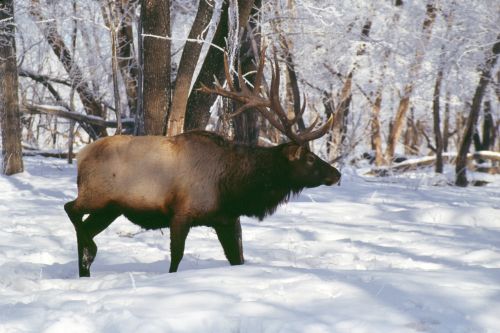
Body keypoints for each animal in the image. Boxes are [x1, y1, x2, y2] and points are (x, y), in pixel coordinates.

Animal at [64, 49, 342, 276]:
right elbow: (176, 259)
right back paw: (90, 249)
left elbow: (236, 258)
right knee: (70, 208)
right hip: (97, 195)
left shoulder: (225, 219)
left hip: (110, 208)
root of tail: (81, 156)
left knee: (83, 226)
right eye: (309, 159)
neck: (233, 187)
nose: (337, 174)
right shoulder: (181, 213)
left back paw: (86, 266)